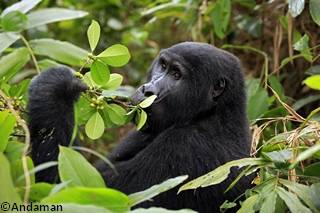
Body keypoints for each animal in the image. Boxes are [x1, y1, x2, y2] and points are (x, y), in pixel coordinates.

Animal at [28, 42, 252, 213]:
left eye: (177, 75)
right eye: (163, 66)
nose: (147, 90)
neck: (214, 113)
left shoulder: (186, 147)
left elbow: (71, 190)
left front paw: (55, 87)